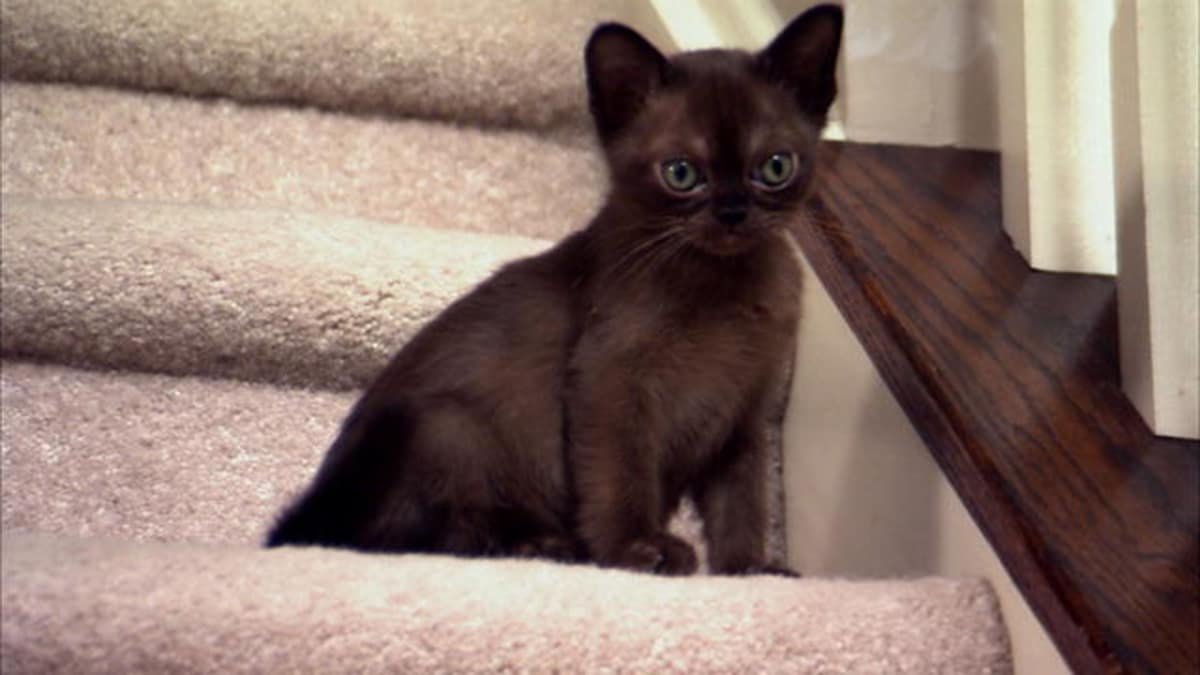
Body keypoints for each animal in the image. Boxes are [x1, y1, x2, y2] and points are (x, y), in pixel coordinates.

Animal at [267, 3, 844, 571]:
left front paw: (750, 571)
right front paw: (638, 551)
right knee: (421, 539)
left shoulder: (742, 418)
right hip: (451, 425)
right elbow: (622, 478)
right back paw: (546, 546)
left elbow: (741, 503)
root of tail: (305, 521)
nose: (732, 213)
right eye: (681, 174)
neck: (722, 285)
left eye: (775, 166)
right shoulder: (611, 384)